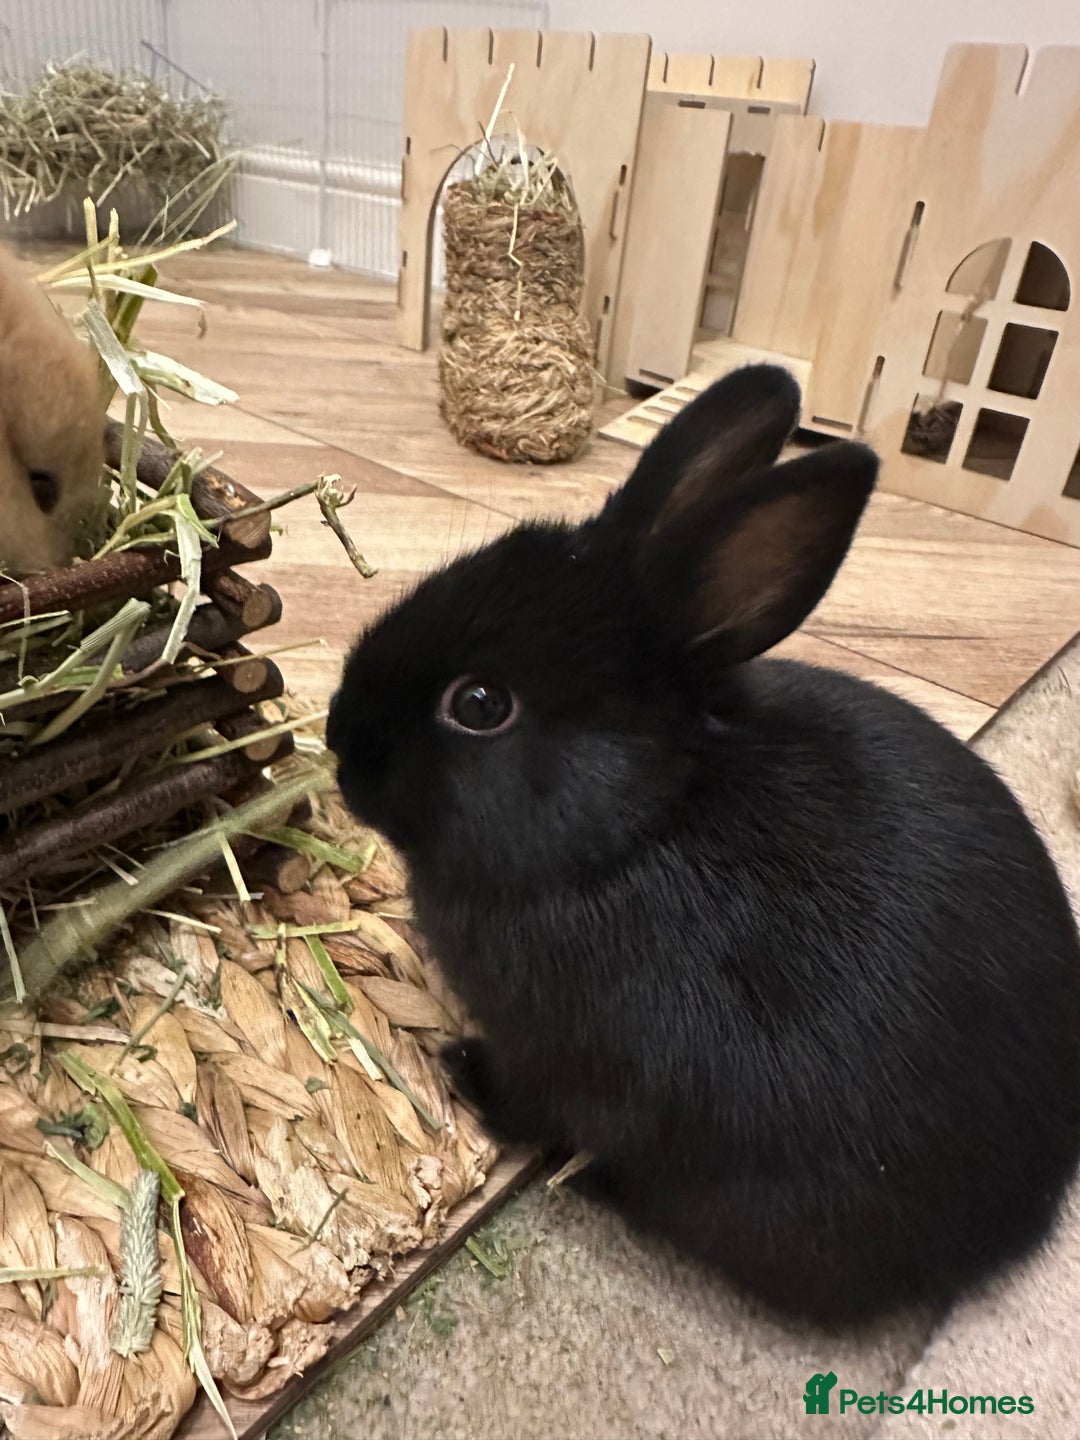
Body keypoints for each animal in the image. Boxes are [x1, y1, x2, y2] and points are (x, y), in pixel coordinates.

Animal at [326, 364, 1080, 1326]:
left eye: (481, 704)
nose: (340, 745)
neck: (642, 822)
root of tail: (1018, 1223)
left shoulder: (568, 1056)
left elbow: (536, 1101)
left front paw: (458, 1065)